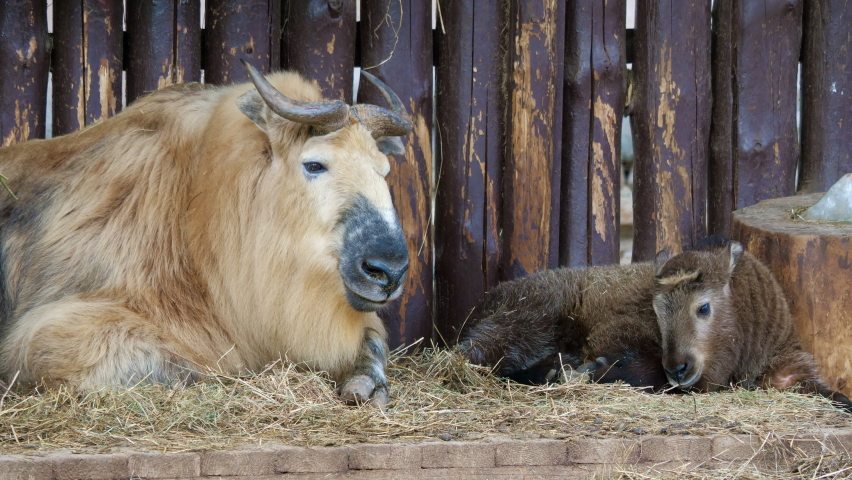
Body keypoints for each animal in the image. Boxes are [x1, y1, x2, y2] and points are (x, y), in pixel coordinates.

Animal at [0, 61, 412, 406]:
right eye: (314, 165)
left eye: (383, 170)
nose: (388, 271)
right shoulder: (51, 335)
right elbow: (194, 366)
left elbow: (373, 341)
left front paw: (367, 382)